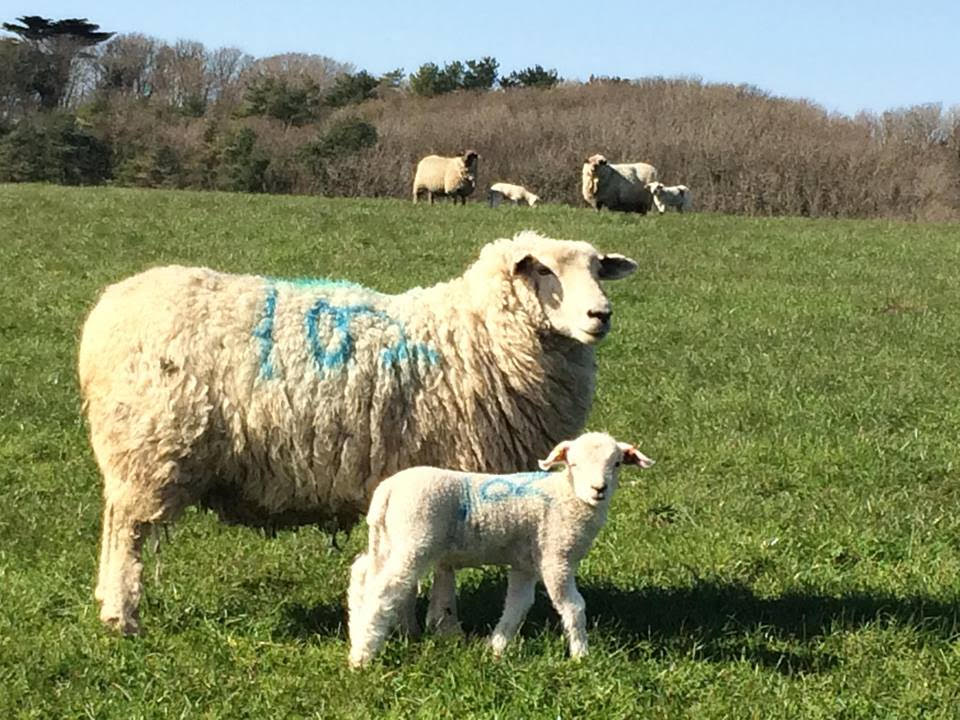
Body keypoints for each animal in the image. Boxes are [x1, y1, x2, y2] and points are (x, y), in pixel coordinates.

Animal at [80, 231, 636, 636]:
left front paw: (416, 625)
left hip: (131, 451)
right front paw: (443, 628)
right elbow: (444, 564)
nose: (601, 315)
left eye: (597, 268)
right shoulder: (452, 463)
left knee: (112, 519)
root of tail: (107, 310)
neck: (476, 335)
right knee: (128, 531)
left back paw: (105, 600)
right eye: (543, 269)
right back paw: (122, 616)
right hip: (150, 445)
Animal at [348, 430, 656, 668]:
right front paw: (581, 655)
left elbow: (517, 604)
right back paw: (361, 657)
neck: (568, 496)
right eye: (574, 464)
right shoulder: (556, 557)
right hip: (414, 539)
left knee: (363, 575)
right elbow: (573, 606)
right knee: (384, 591)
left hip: (388, 539)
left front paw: (496, 647)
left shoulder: (525, 563)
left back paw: (357, 631)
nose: (598, 489)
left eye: (617, 463)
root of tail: (387, 490)